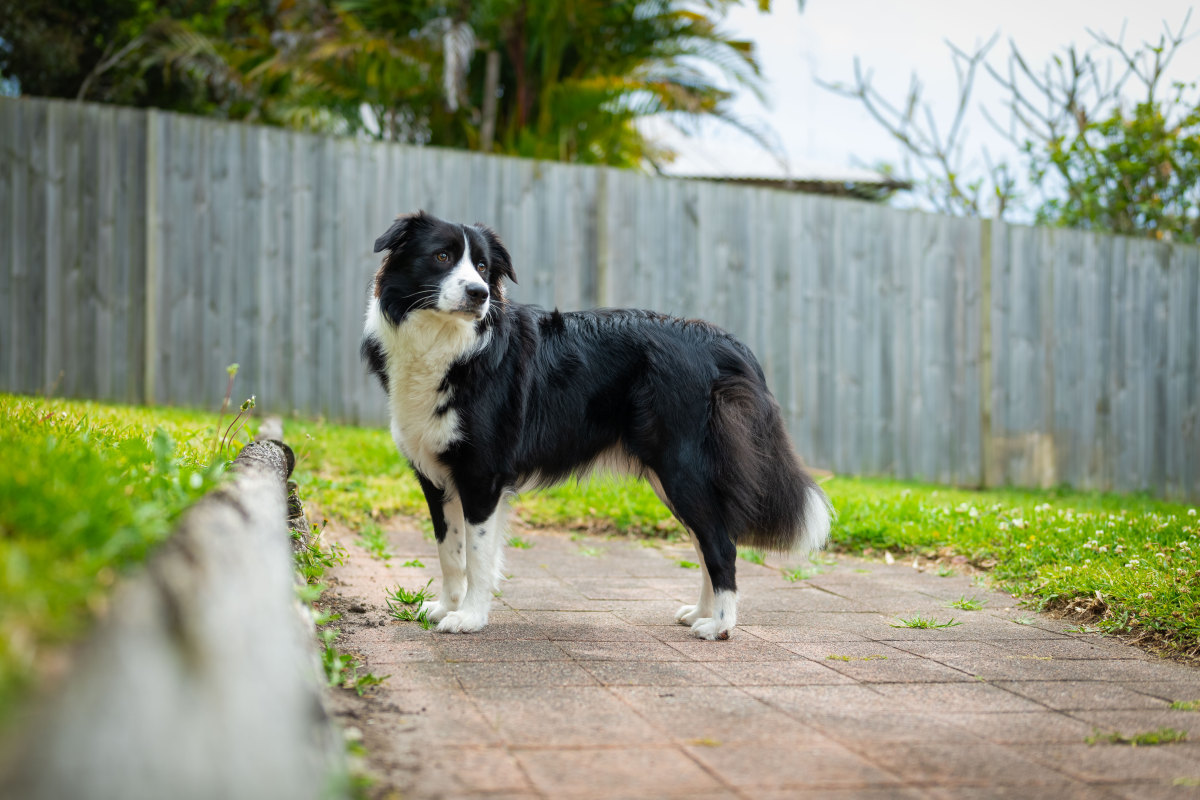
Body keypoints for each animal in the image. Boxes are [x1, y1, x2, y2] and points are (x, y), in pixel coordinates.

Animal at [360, 209, 830, 642]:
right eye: (441, 256)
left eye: (481, 266)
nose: (479, 294)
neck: (449, 342)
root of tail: (722, 342)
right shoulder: (436, 478)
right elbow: (449, 551)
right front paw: (446, 607)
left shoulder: (481, 475)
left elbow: (477, 556)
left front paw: (470, 618)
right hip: (671, 475)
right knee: (704, 541)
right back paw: (700, 612)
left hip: (683, 468)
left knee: (721, 544)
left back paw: (719, 625)